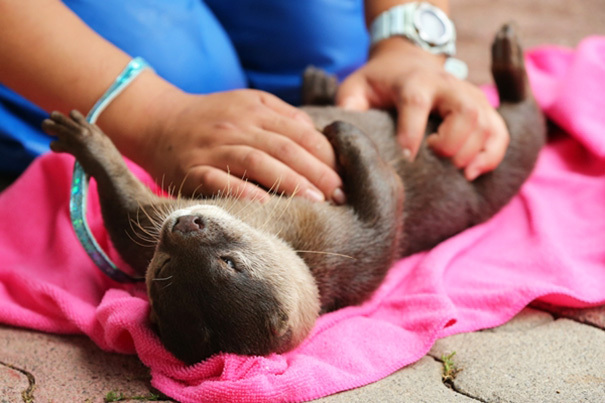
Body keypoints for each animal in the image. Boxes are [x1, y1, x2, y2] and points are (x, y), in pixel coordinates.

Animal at [41, 26, 544, 366]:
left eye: (230, 264)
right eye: (164, 269)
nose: (186, 224)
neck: (286, 235)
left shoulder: (340, 237)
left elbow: (384, 209)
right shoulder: (147, 232)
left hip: (501, 156)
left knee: (526, 118)